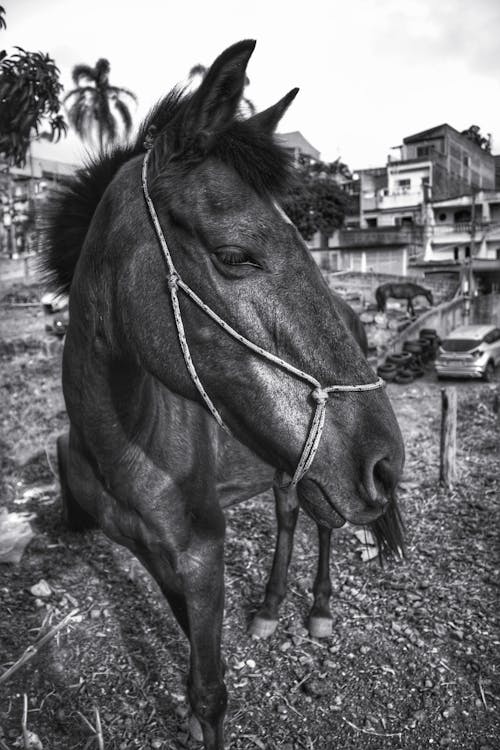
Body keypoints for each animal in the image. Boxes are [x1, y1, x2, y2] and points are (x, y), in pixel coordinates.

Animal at [41, 39, 404, 750]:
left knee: (321, 527)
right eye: (236, 256)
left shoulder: (203, 557)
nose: (387, 463)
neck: (125, 440)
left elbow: (210, 693)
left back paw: (316, 610)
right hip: (293, 468)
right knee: (290, 513)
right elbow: (192, 660)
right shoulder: (159, 559)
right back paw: (268, 606)